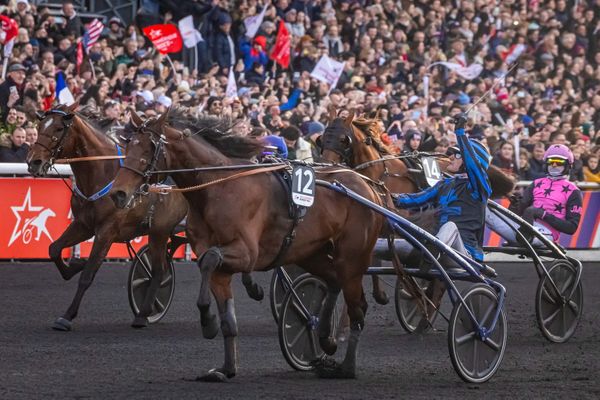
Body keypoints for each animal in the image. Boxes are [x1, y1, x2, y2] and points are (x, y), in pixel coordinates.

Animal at [109, 110, 384, 382]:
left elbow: (210, 259)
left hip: (351, 259)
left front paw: (208, 321)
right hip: (311, 253)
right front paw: (226, 367)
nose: (118, 193)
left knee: (358, 306)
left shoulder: (246, 253)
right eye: (128, 144)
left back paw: (346, 366)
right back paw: (326, 337)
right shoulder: (221, 264)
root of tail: (367, 186)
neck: (219, 186)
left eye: (149, 147)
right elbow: (227, 315)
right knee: (333, 281)